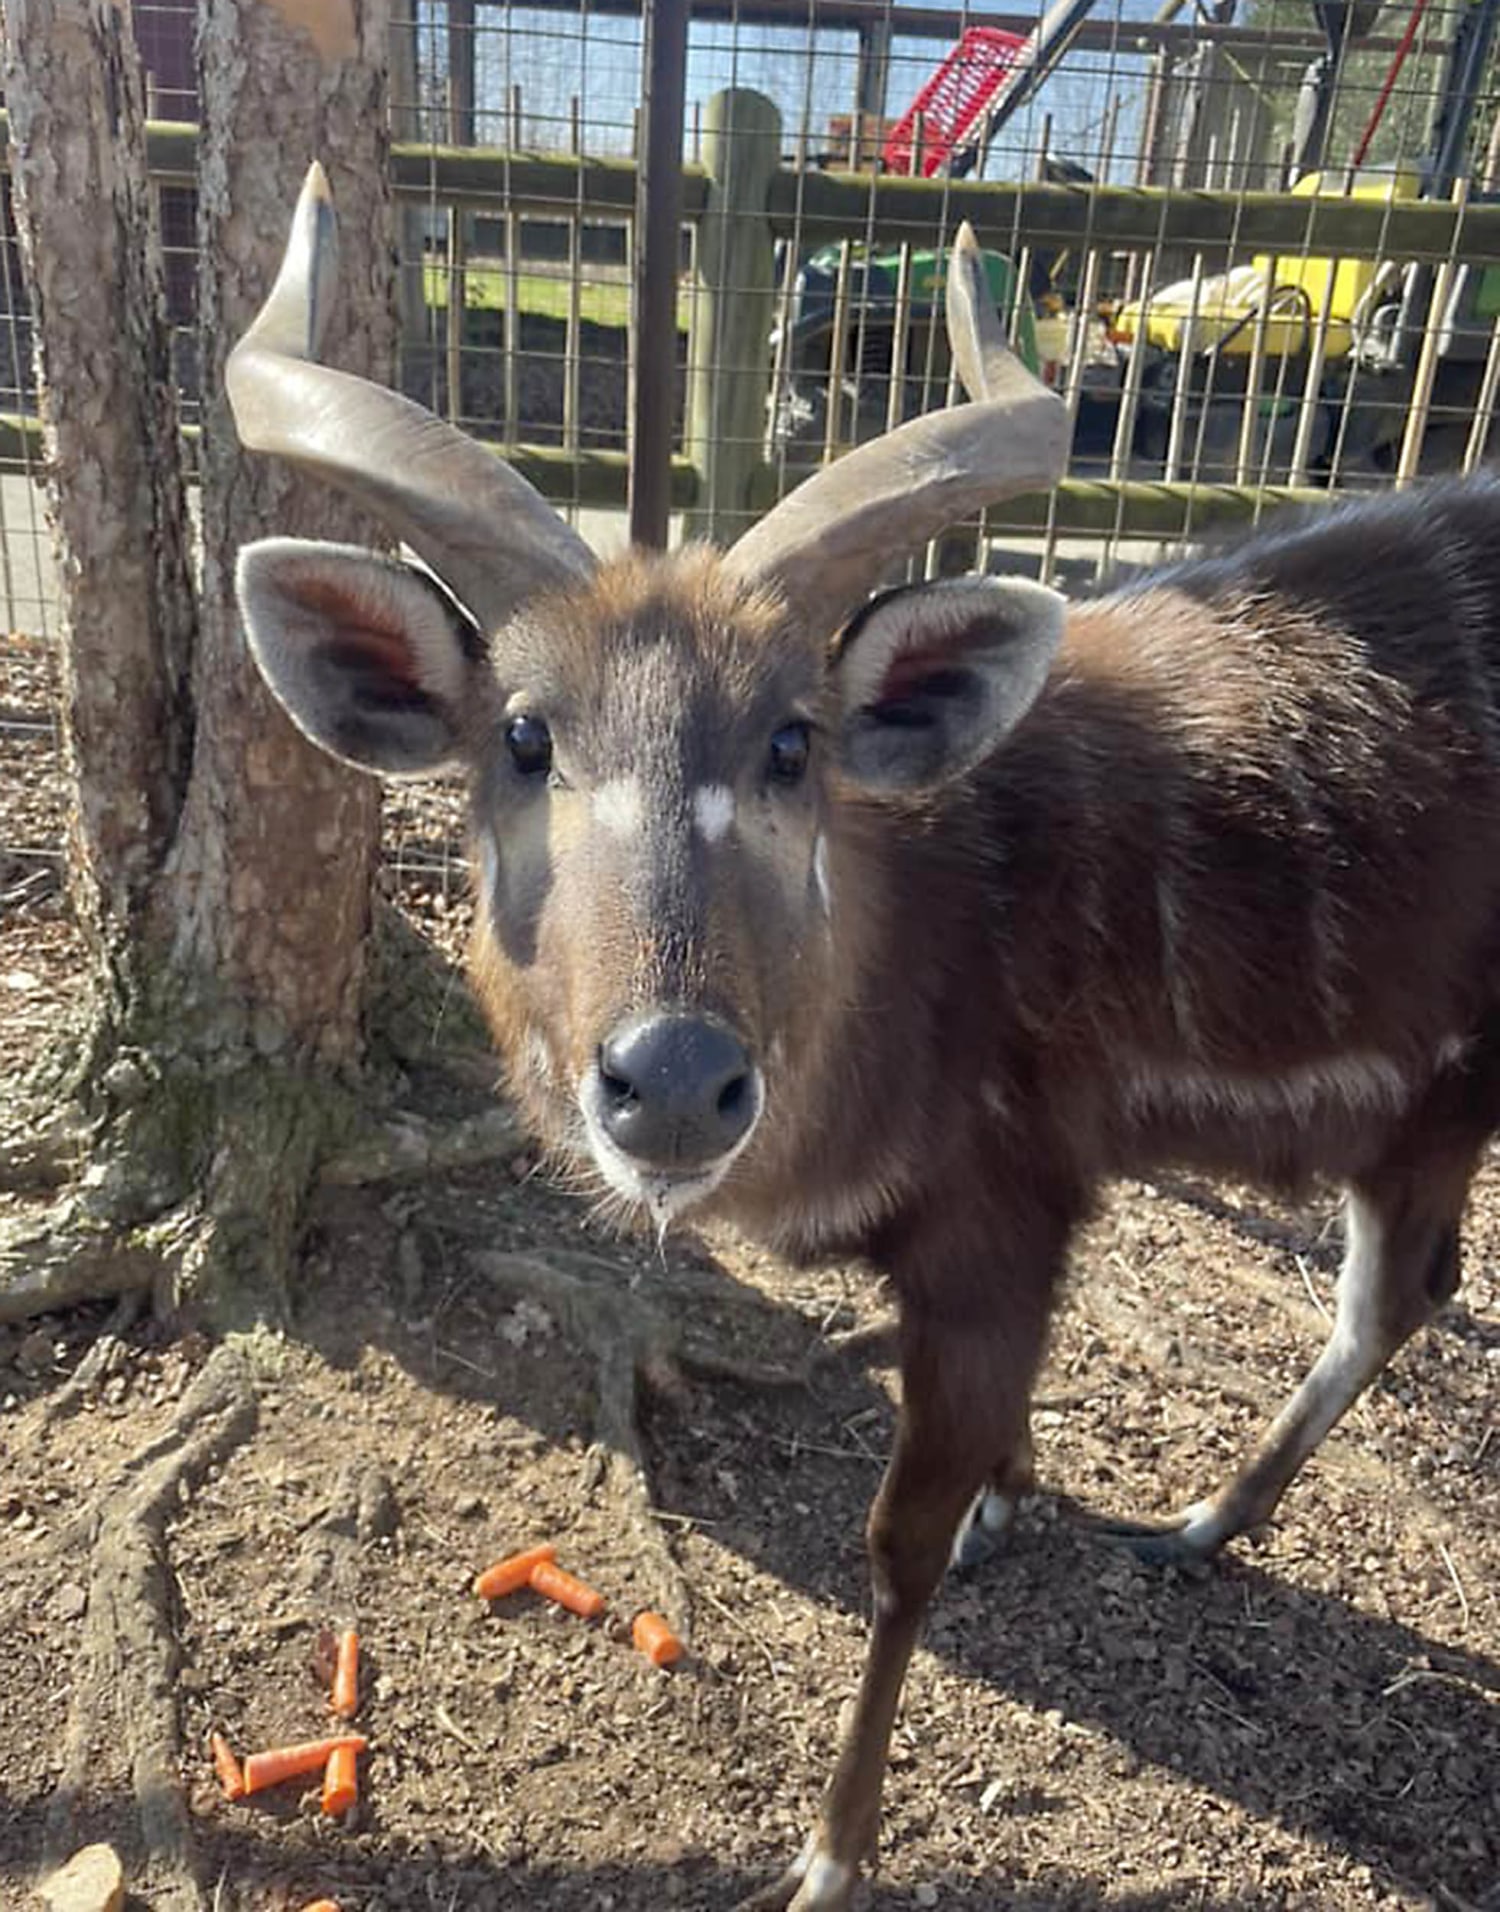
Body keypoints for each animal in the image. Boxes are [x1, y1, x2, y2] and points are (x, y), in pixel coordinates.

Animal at [229, 164, 1500, 1911]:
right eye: (524, 736)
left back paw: (1198, 1518)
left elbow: (896, 1548)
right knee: (1402, 1293)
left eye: (791, 741)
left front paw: (830, 1855)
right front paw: (1012, 1510)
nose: (673, 1084)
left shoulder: (995, 1215)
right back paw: (1201, 1520)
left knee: (1402, 1291)